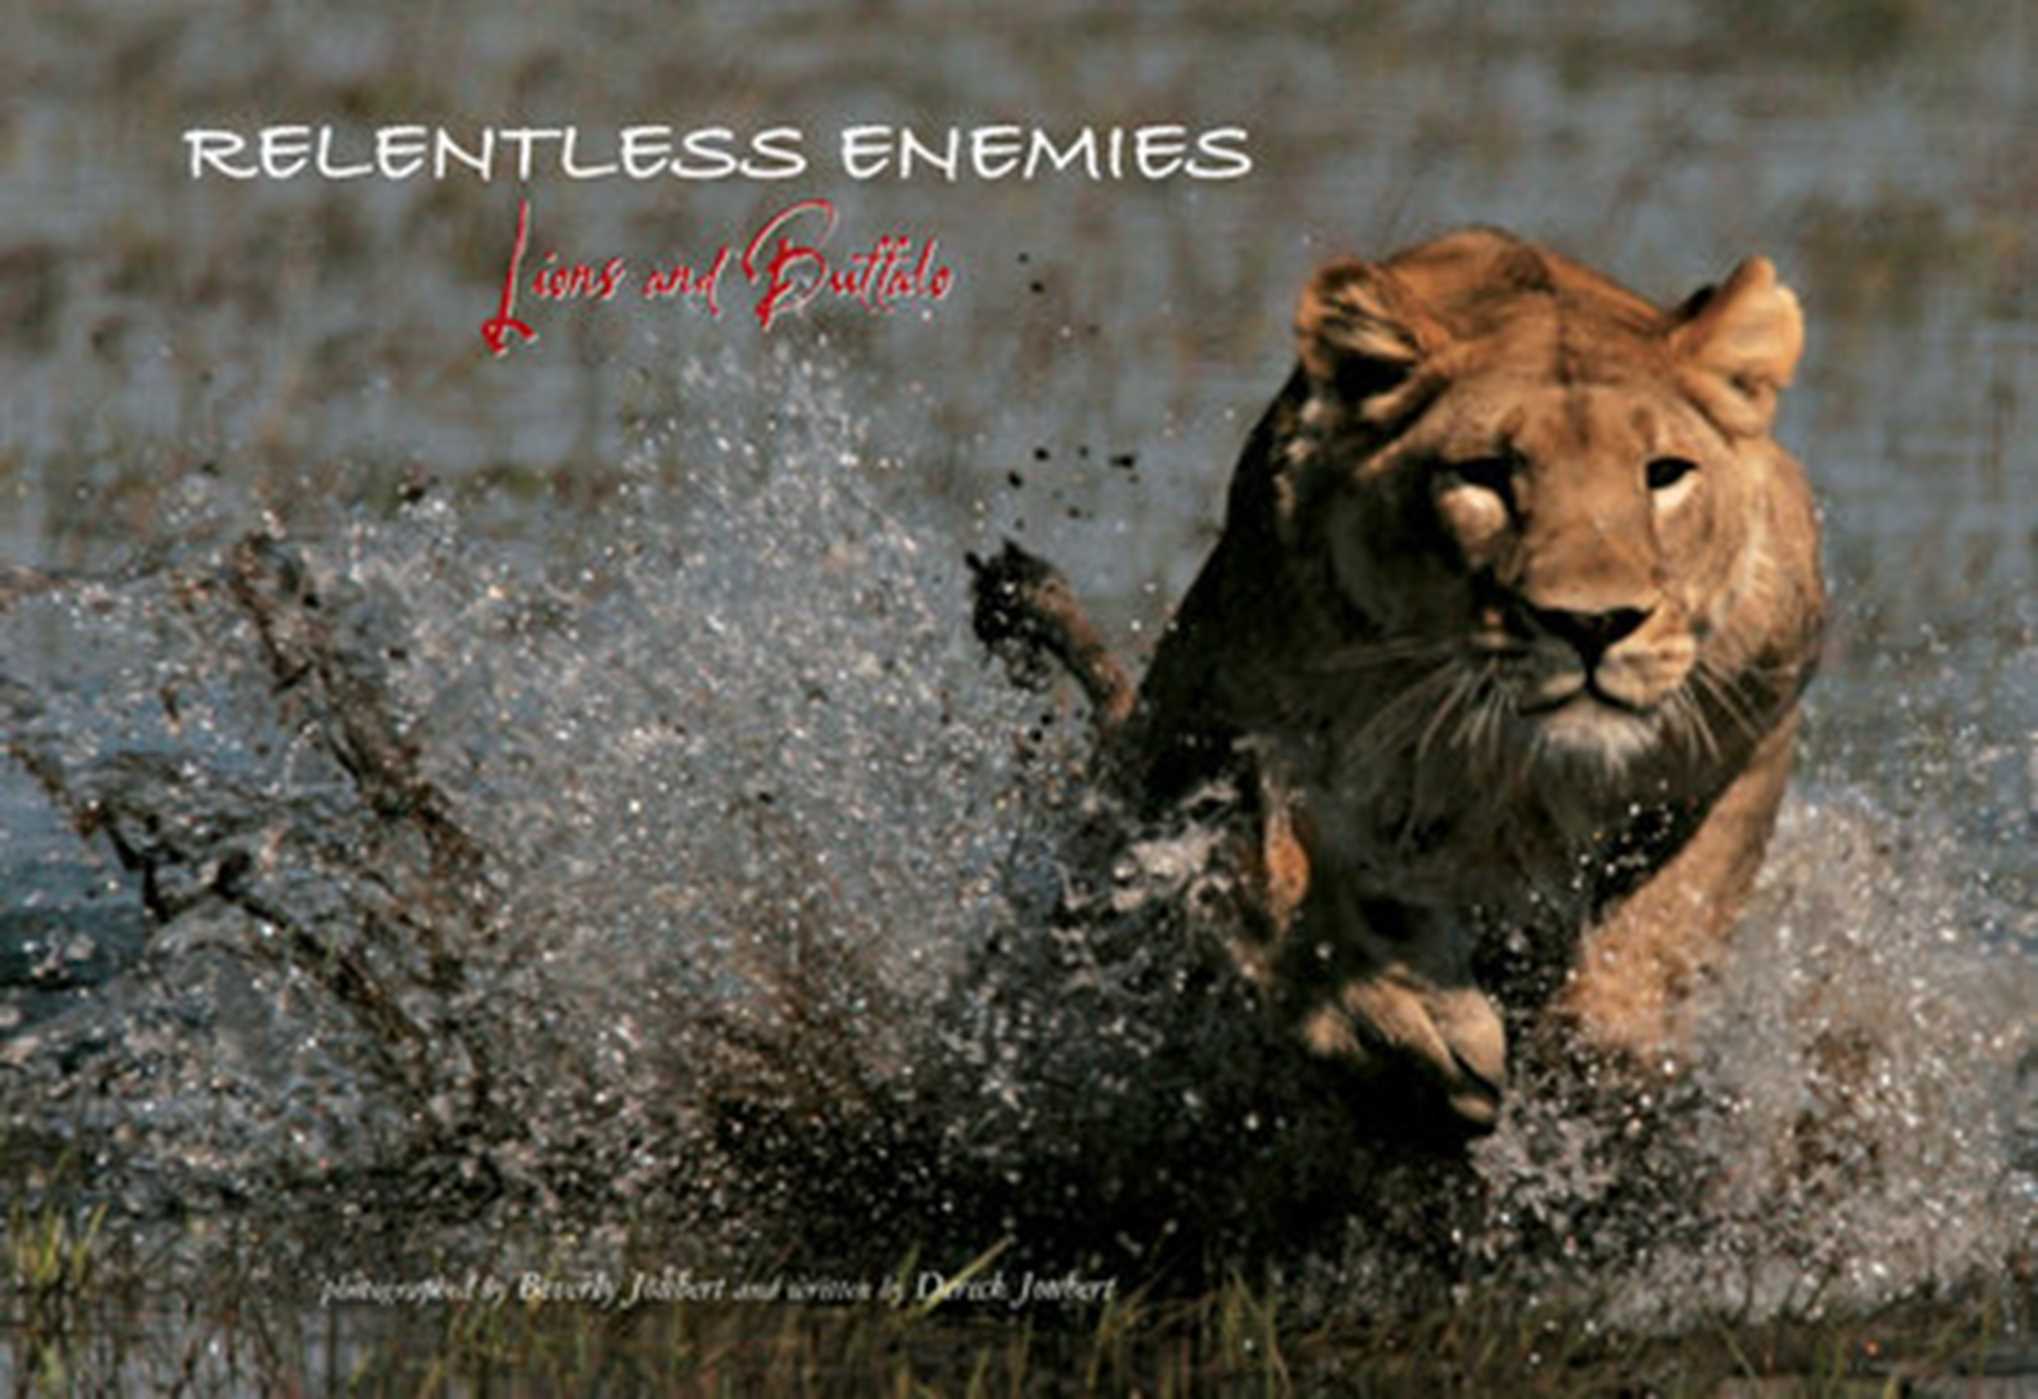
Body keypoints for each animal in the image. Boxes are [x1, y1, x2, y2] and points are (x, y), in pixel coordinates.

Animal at [972, 226, 1822, 1139]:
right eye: (1485, 475)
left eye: (1664, 472)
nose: (1592, 625)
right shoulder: (1225, 734)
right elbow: (1280, 885)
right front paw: (1407, 1016)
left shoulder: (1756, 719)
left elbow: (1673, 918)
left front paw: (1601, 1068)